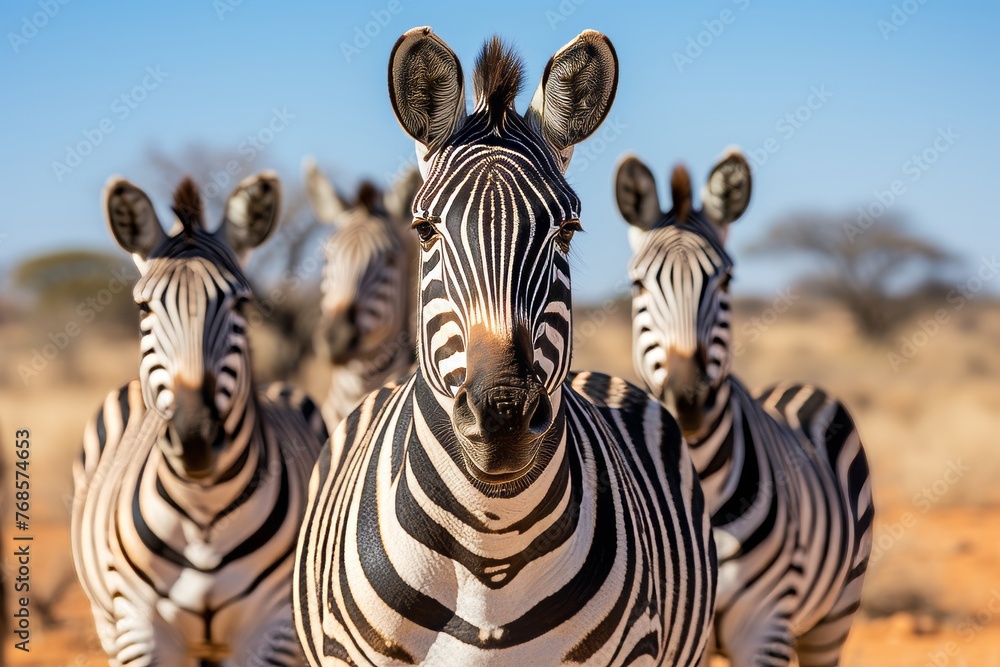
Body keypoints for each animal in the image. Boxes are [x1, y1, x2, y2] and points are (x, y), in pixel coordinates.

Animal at [72, 173, 327, 666]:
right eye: (144, 309)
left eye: (241, 306)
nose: (195, 439)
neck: (203, 515)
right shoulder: (137, 628)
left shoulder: (275, 630)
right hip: (106, 621)